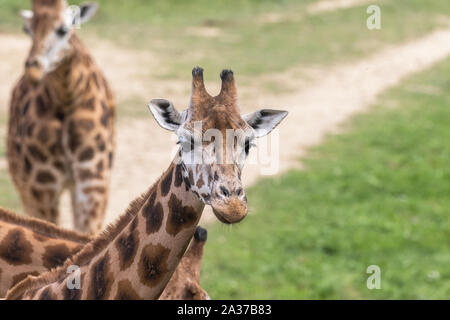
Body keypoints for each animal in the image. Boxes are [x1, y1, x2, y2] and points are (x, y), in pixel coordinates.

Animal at [6, 0, 115, 232]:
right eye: (27, 30)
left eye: (63, 30)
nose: (34, 69)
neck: (67, 97)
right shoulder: (41, 187)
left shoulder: (93, 181)